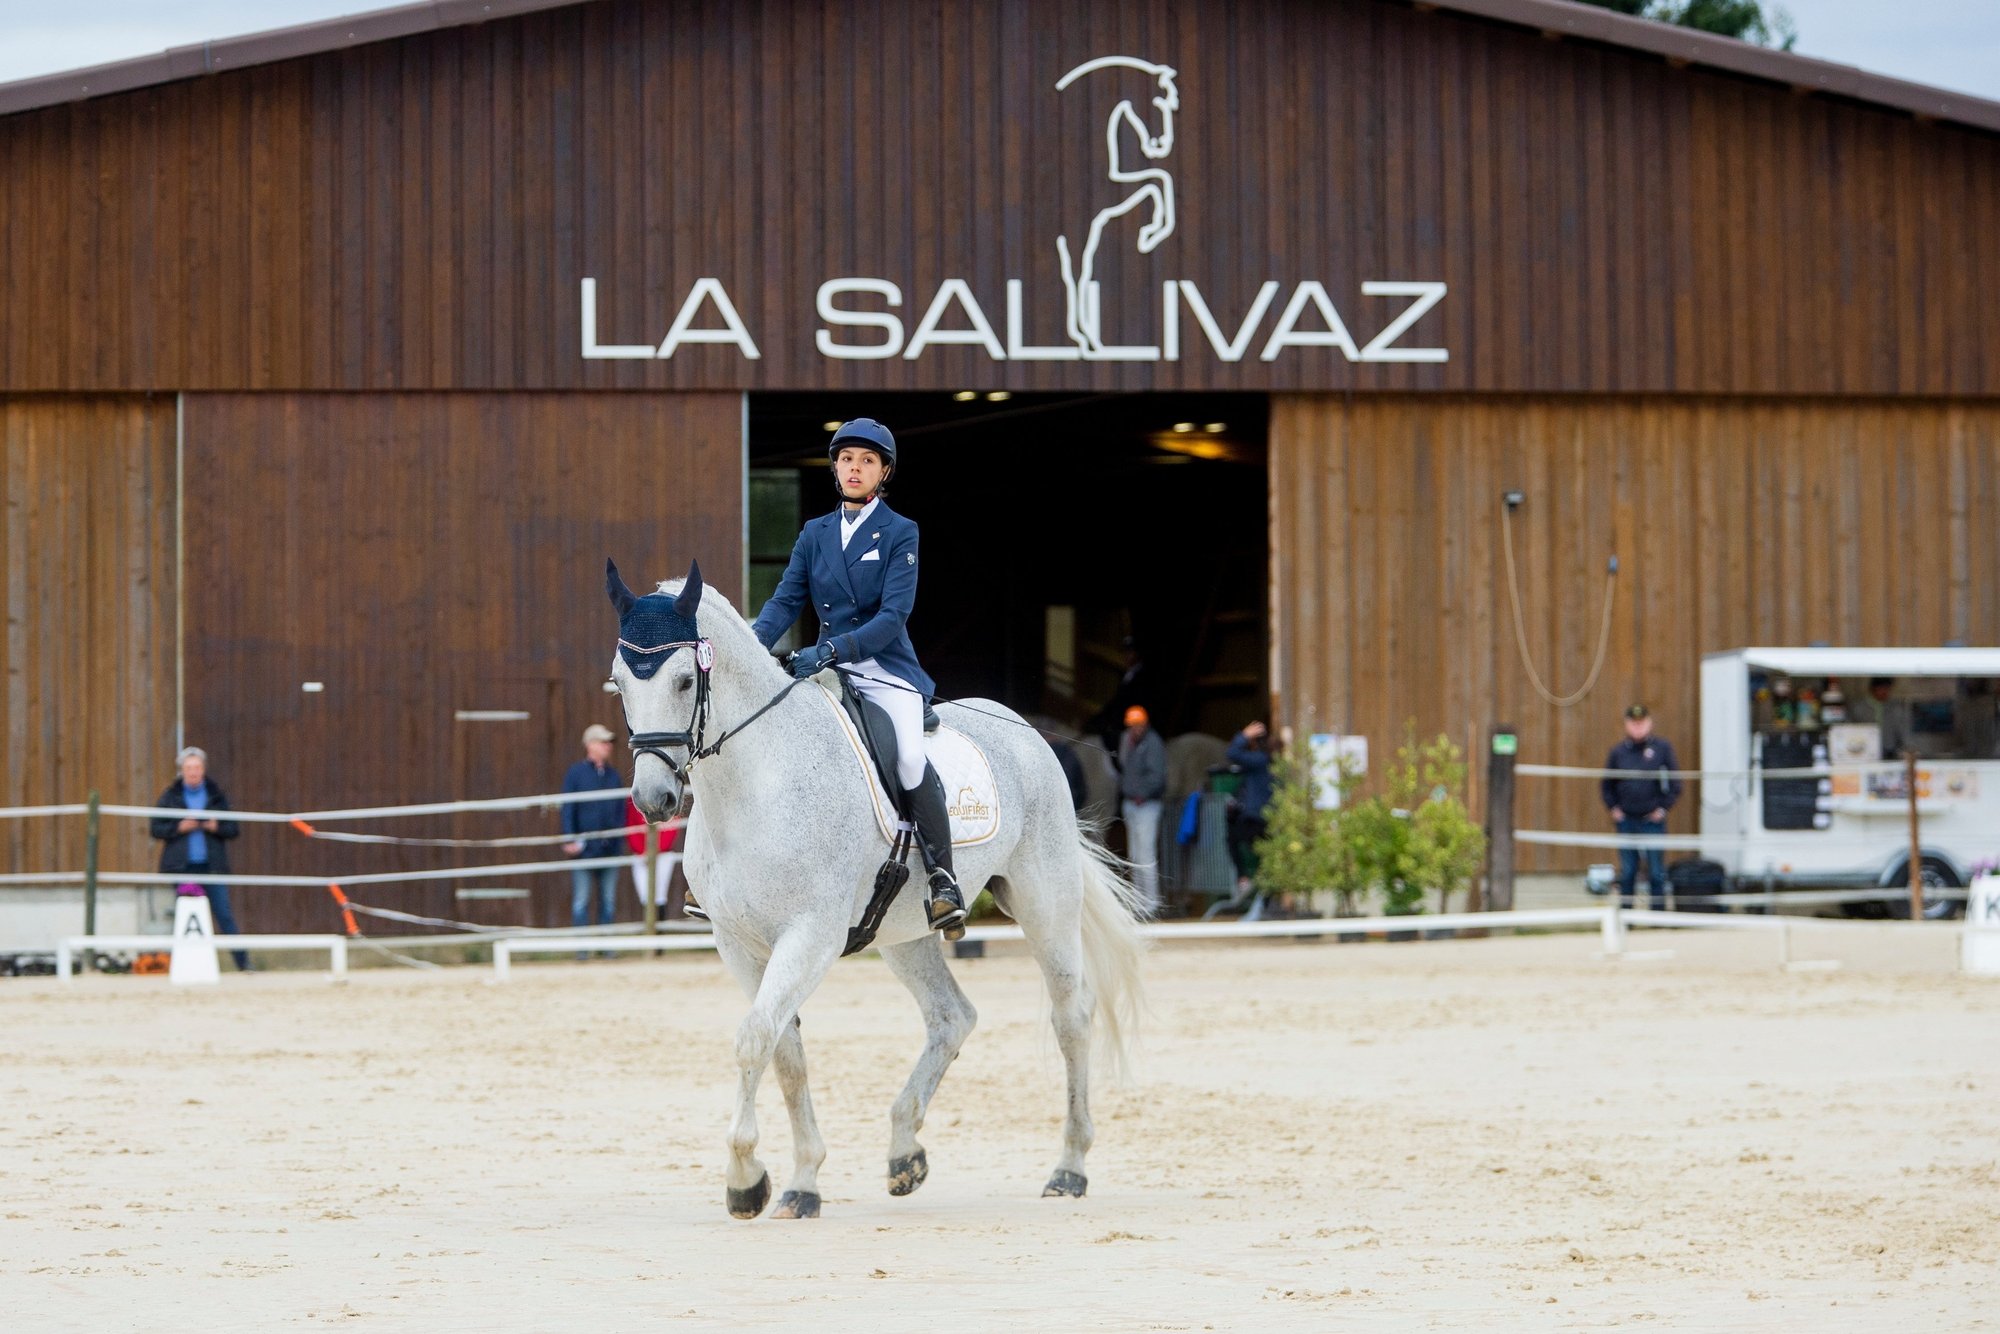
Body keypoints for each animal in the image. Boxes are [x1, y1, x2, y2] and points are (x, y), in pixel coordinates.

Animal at [604, 564, 1144, 1224]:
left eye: (685, 680)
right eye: (620, 684)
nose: (653, 799)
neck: (756, 783)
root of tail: (1026, 730)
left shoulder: (810, 936)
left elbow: (754, 1038)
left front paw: (744, 1179)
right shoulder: (739, 944)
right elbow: (784, 1050)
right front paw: (799, 1181)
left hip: (1046, 902)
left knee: (1071, 1016)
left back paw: (1068, 1168)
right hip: (905, 933)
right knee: (951, 1016)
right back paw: (904, 1154)